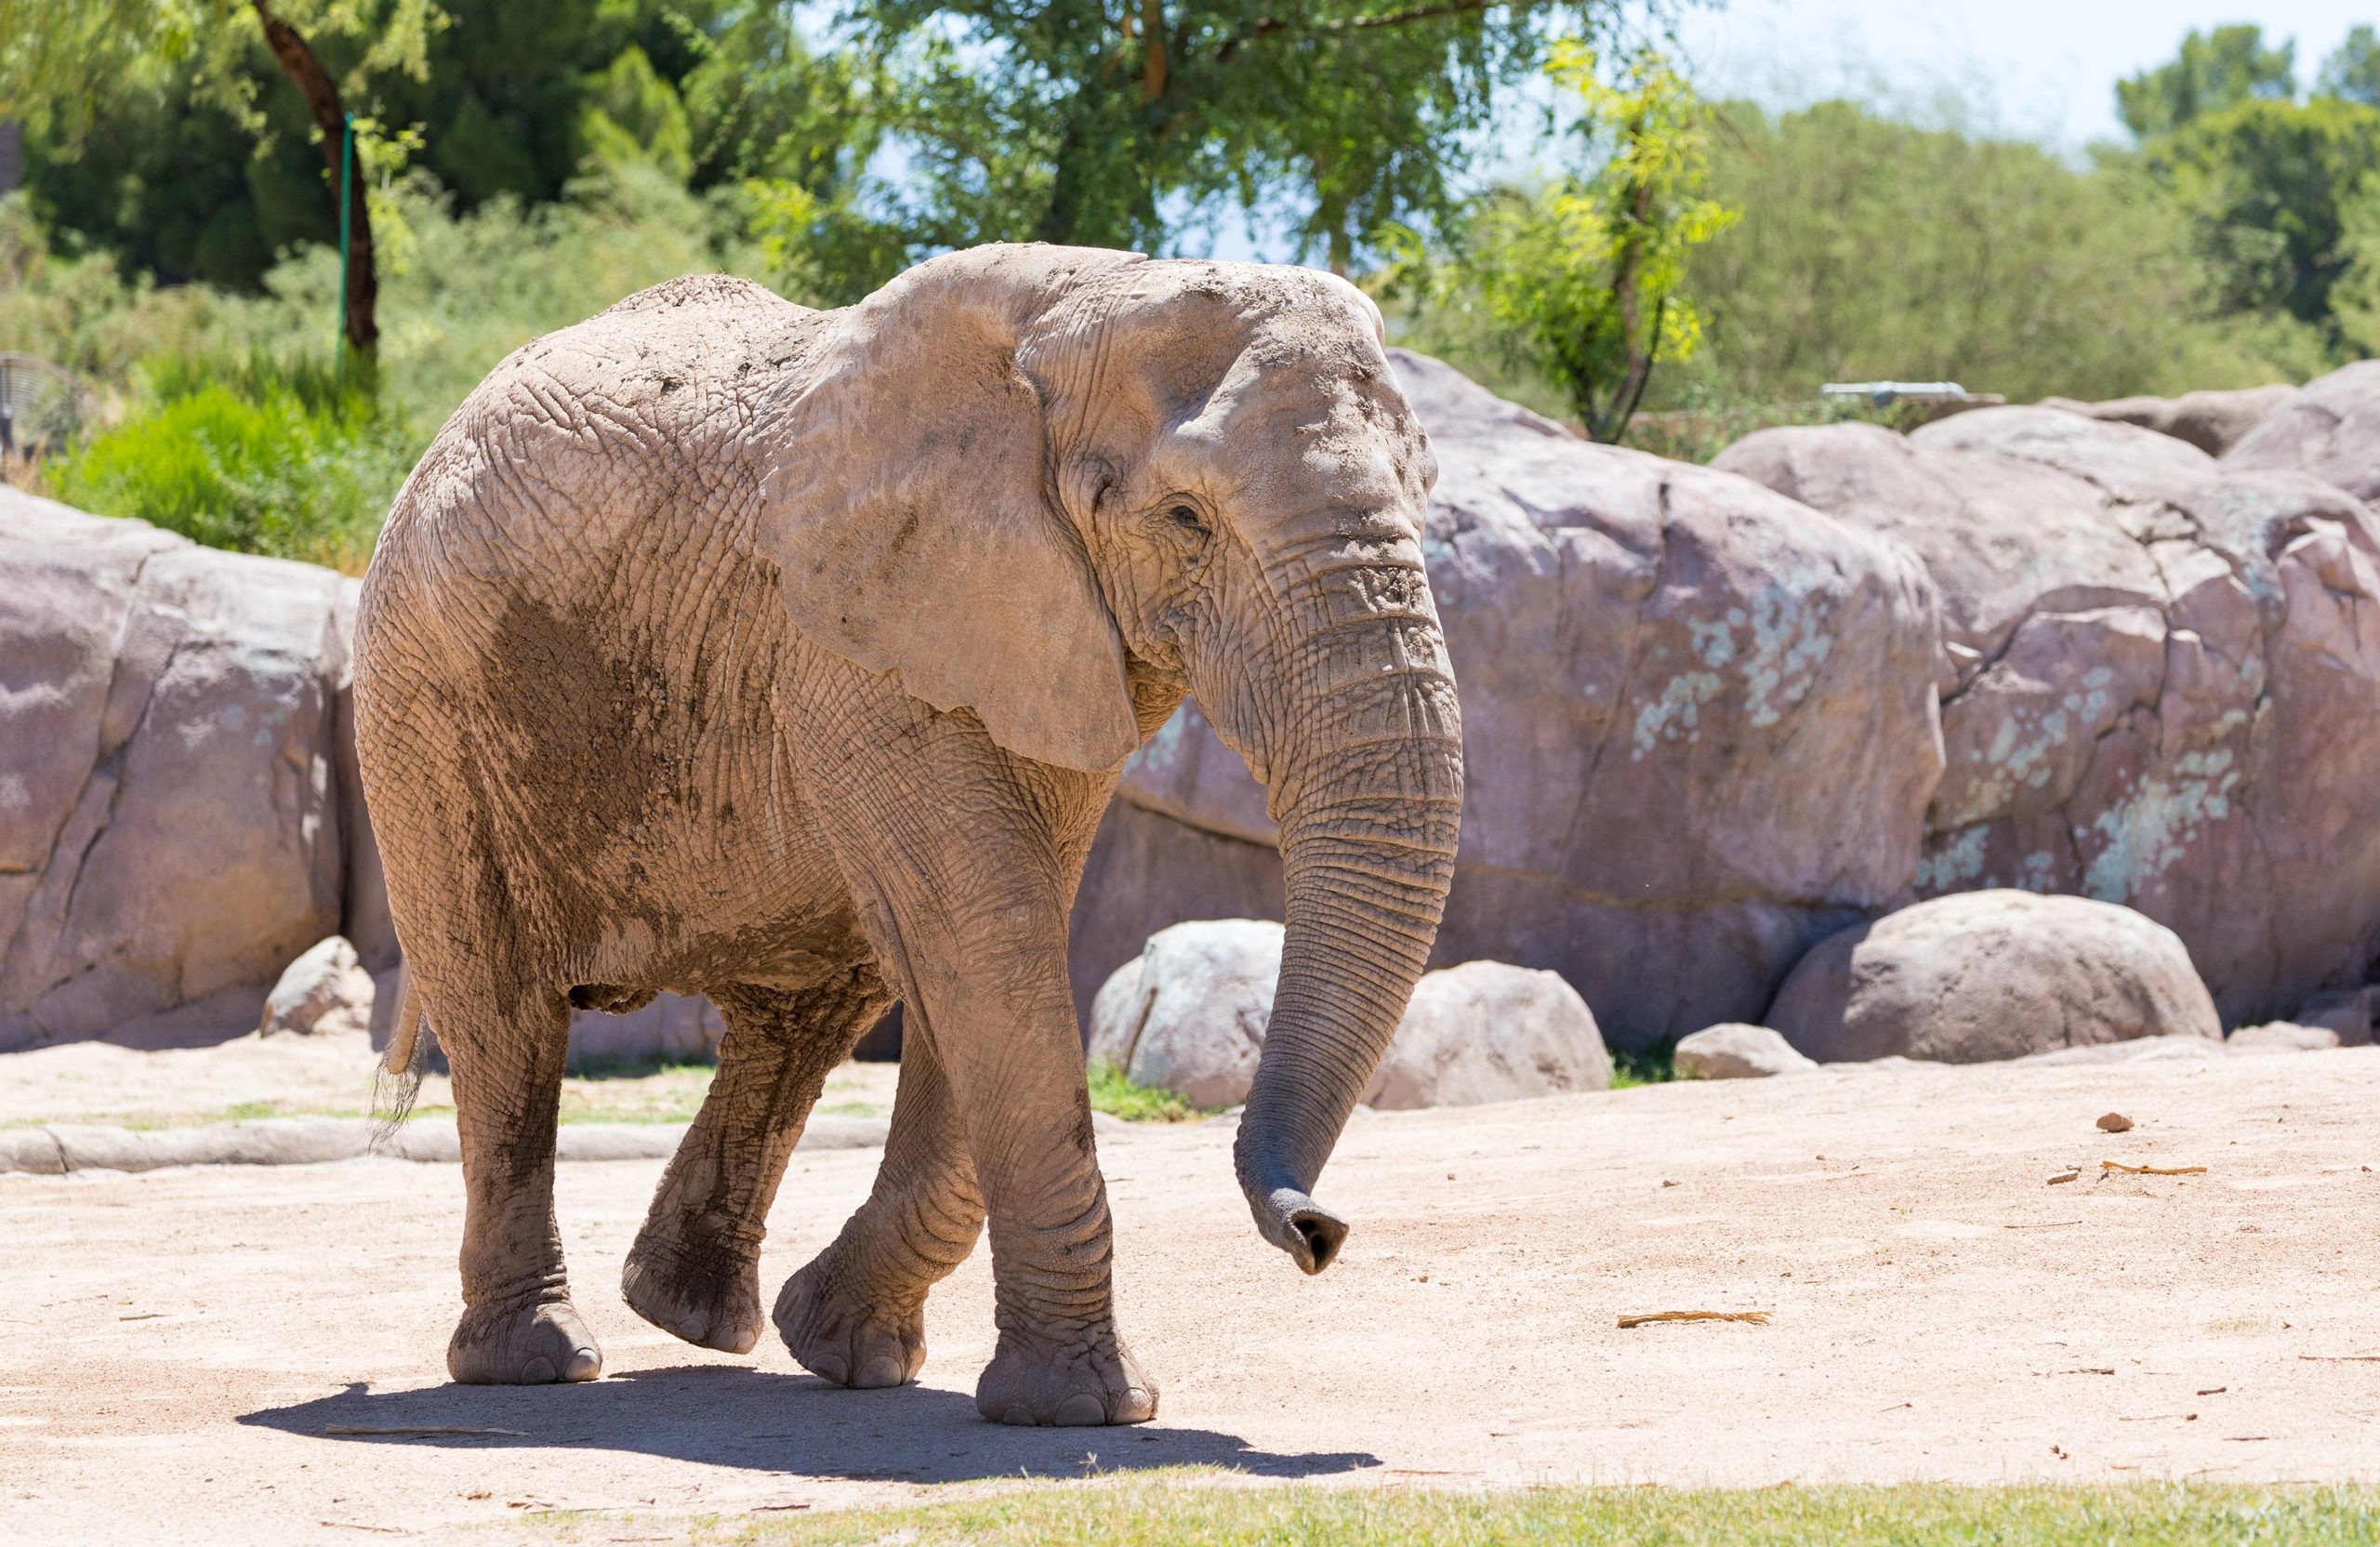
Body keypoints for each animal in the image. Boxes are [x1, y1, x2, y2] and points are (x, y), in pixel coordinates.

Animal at [347, 240, 1465, 1418]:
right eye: (1184, 519)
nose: (1317, 1230)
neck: (1094, 293)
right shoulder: (851, 637)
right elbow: (988, 936)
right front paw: (1085, 1409)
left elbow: (983, 943)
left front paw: (847, 1346)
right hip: (423, 698)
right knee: (506, 1018)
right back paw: (540, 1360)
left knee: (816, 1003)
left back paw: (694, 1316)